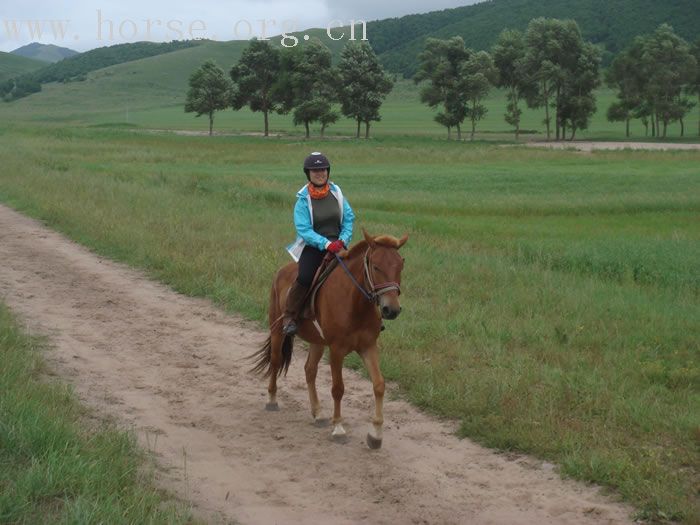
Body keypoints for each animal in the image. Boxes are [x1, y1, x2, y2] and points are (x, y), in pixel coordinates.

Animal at [252, 227, 408, 448]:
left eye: (400, 265)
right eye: (376, 266)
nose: (391, 309)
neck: (355, 303)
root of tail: (281, 271)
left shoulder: (368, 346)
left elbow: (379, 385)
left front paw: (376, 434)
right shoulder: (337, 350)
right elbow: (338, 388)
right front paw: (339, 428)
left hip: (317, 342)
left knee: (309, 370)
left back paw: (317, 413)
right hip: (277, 330)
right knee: (275, 360)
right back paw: (272, 400)